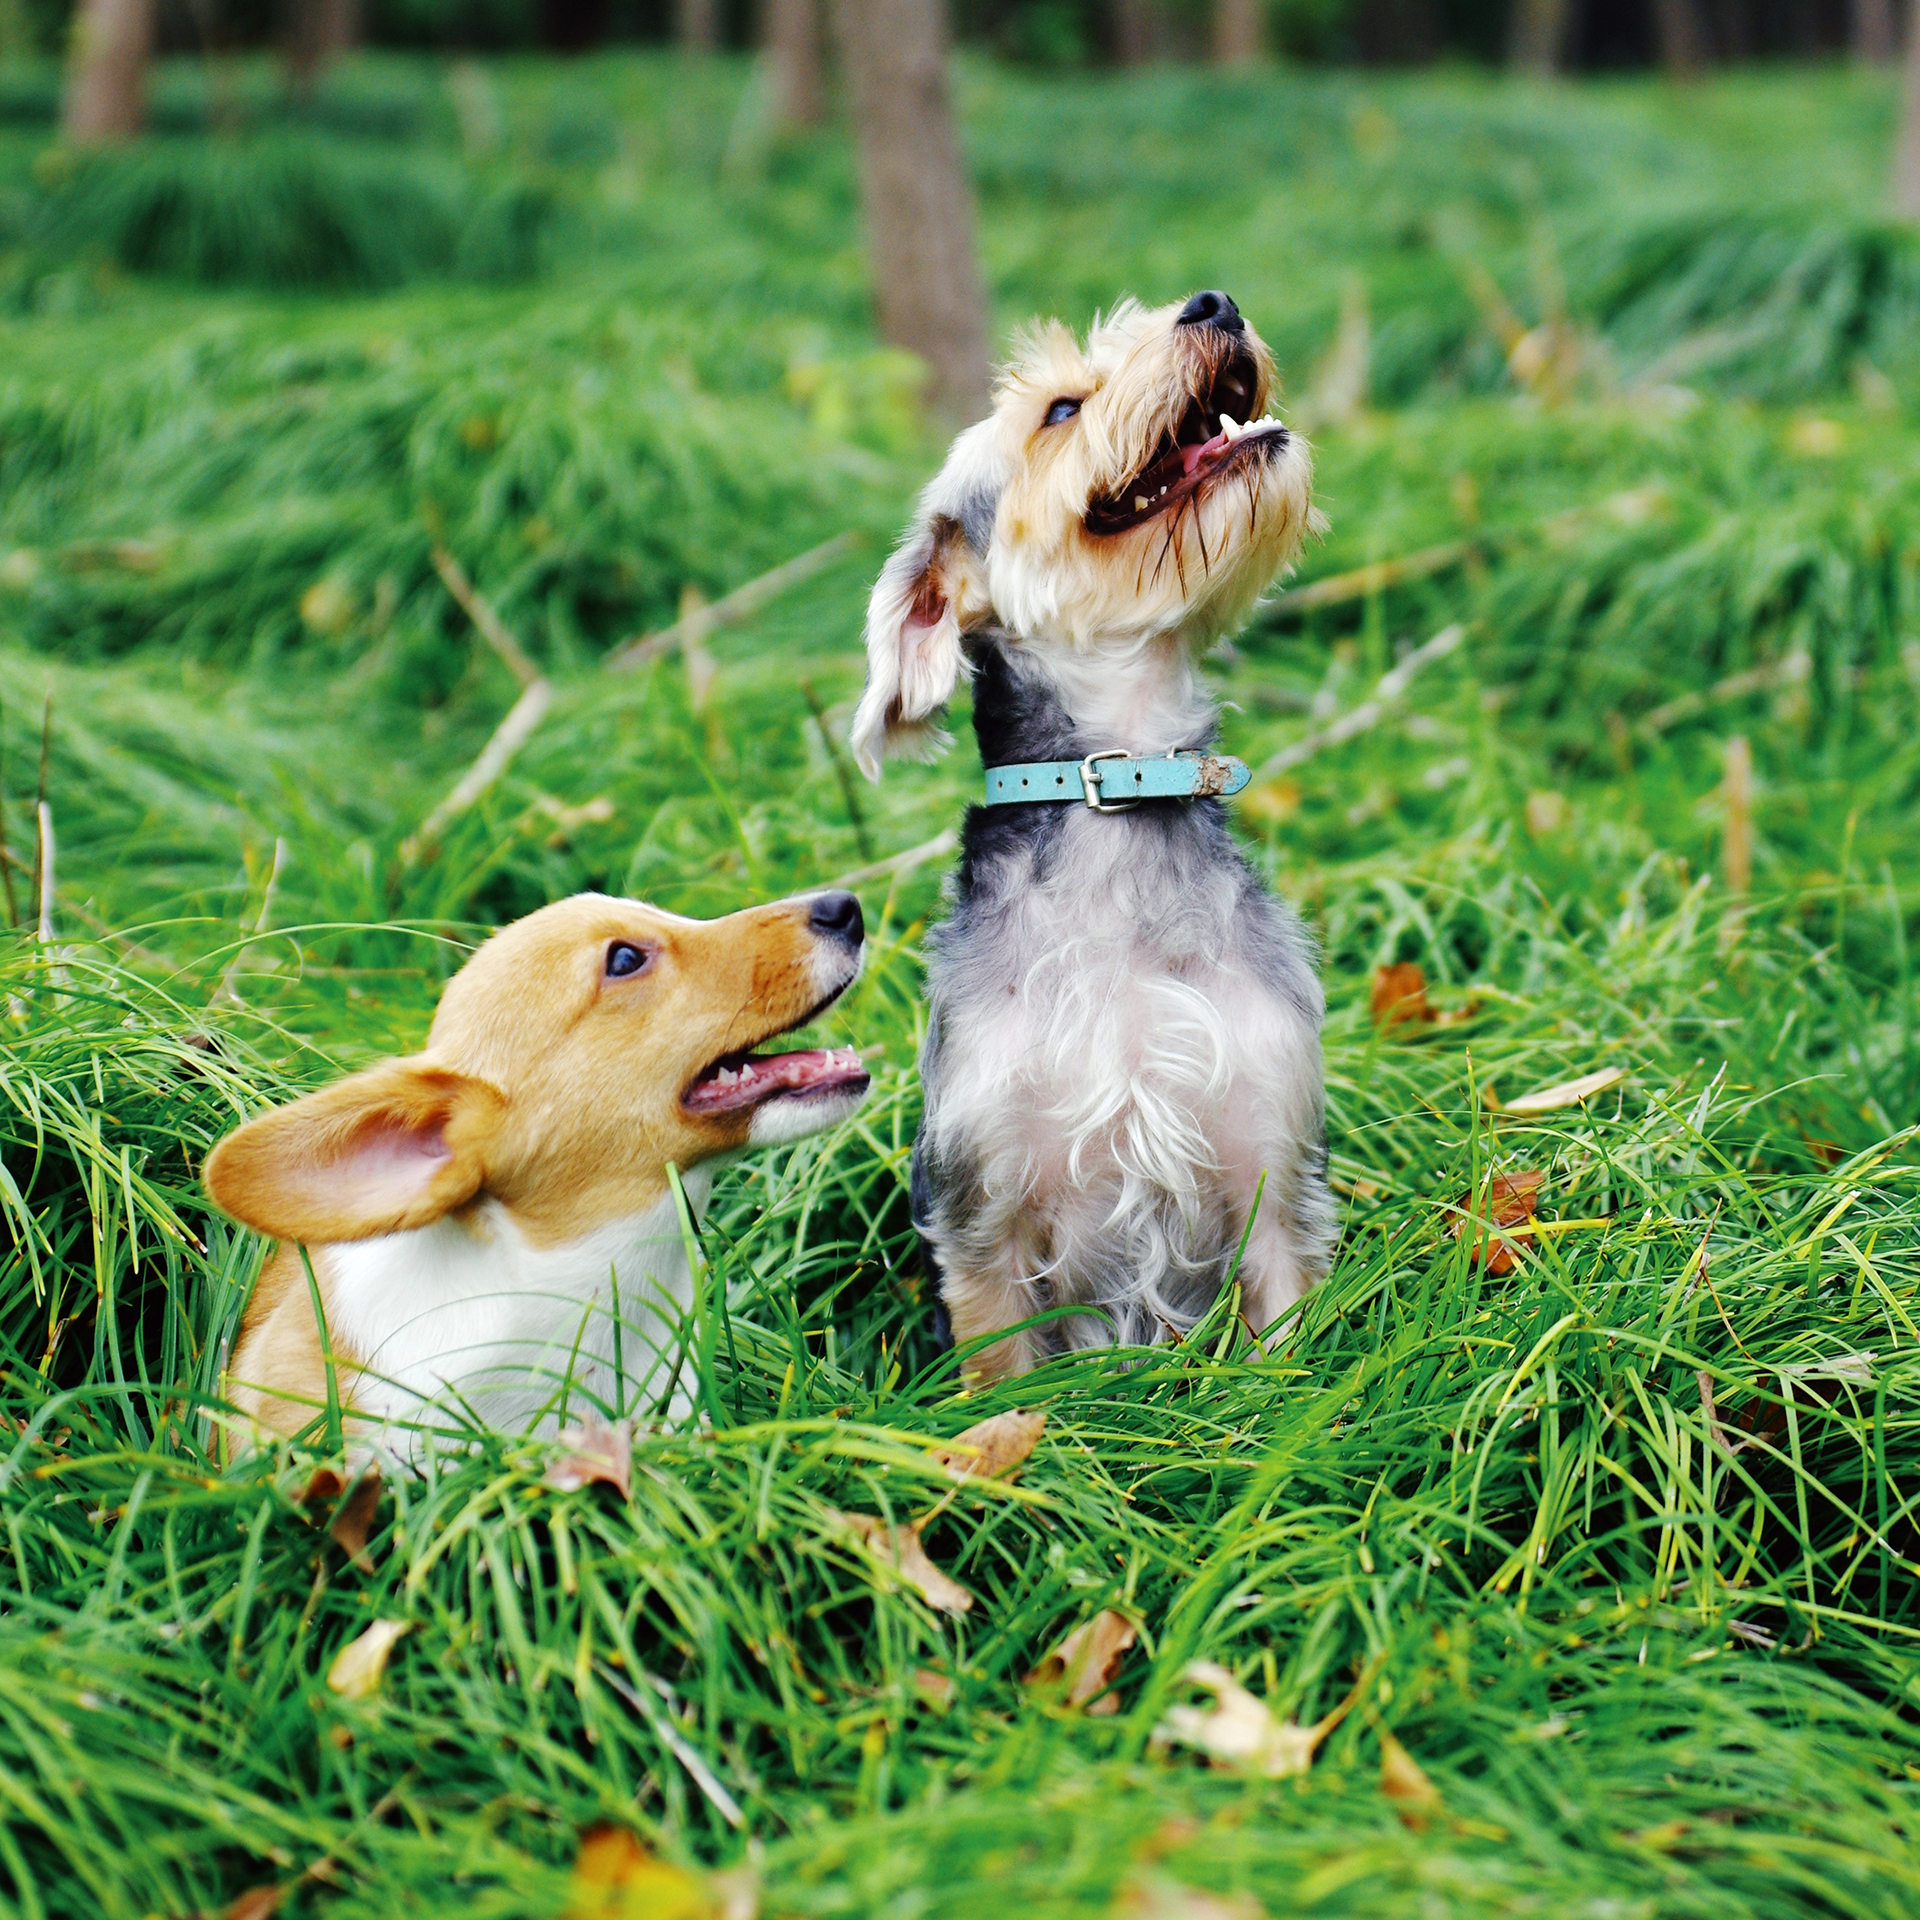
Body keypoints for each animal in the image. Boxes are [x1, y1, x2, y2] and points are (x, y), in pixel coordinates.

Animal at [856, 288, 1336, 1382]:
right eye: (1062, 410)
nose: (1215, 302)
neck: (1118, 789)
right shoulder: (982, 1215)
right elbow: (1005, 1387)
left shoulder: (1272, 1171)